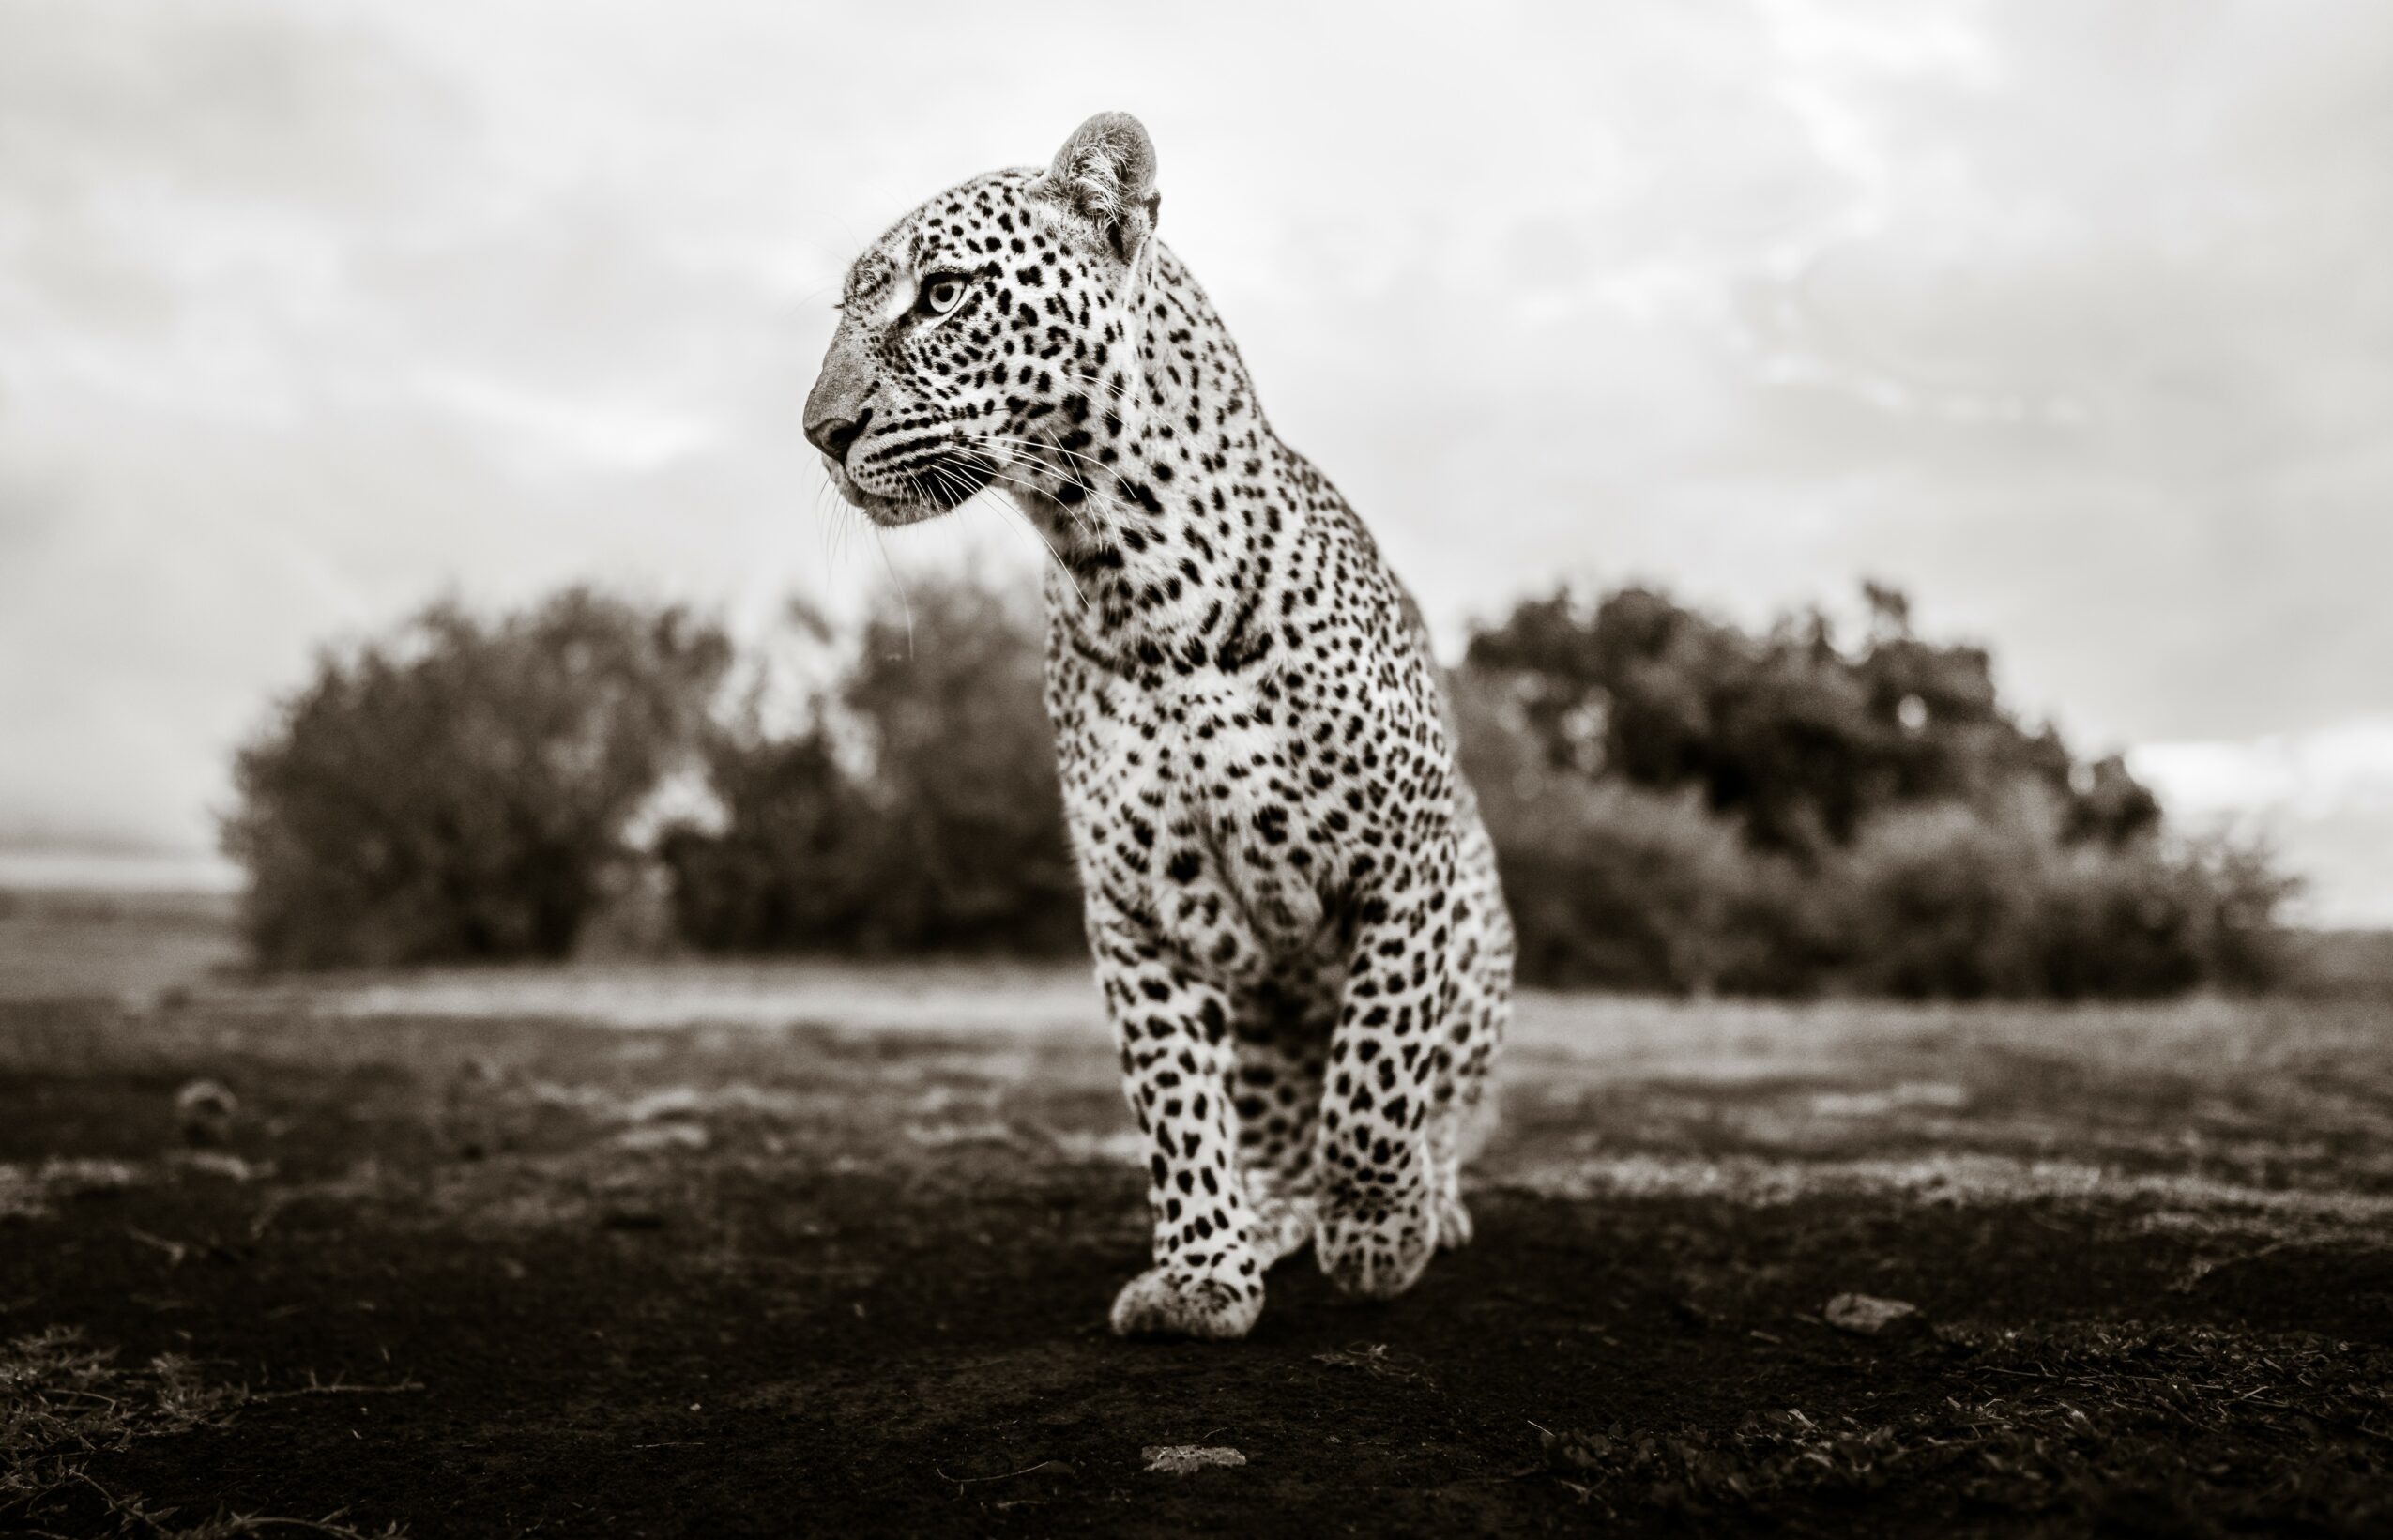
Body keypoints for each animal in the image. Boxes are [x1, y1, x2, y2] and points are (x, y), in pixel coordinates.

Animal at [804, 112, 1513, 1341]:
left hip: (1481, 930)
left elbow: (1377, 1069)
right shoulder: (1142, 906)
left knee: (1437, 1101)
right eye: (849, 308)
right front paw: (1201, 1274)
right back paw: (1277, 1217)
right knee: (1274, 1133)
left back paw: (1426, 1202)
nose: (819, 430)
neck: (1125, 573)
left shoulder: (1409, 856)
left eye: (941, 294)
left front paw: (1379, 1229)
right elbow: (1178, 1107)